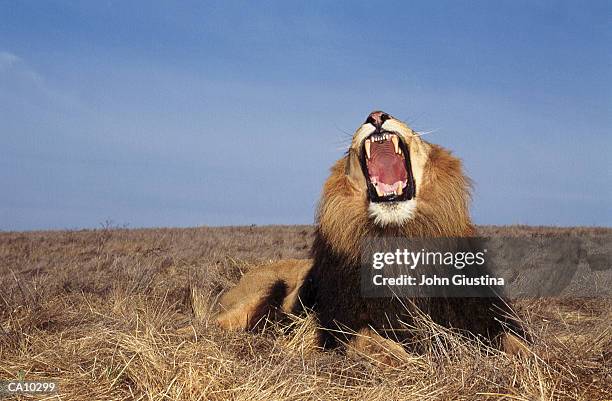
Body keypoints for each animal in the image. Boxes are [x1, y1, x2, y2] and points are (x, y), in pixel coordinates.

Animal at [218, 111, 528, 358]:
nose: (377, 115)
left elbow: (518, 343)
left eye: (415, 134)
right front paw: (413, 363)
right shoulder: (341, 324)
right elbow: (376, 344)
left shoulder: (482, 315)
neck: (397, 238)